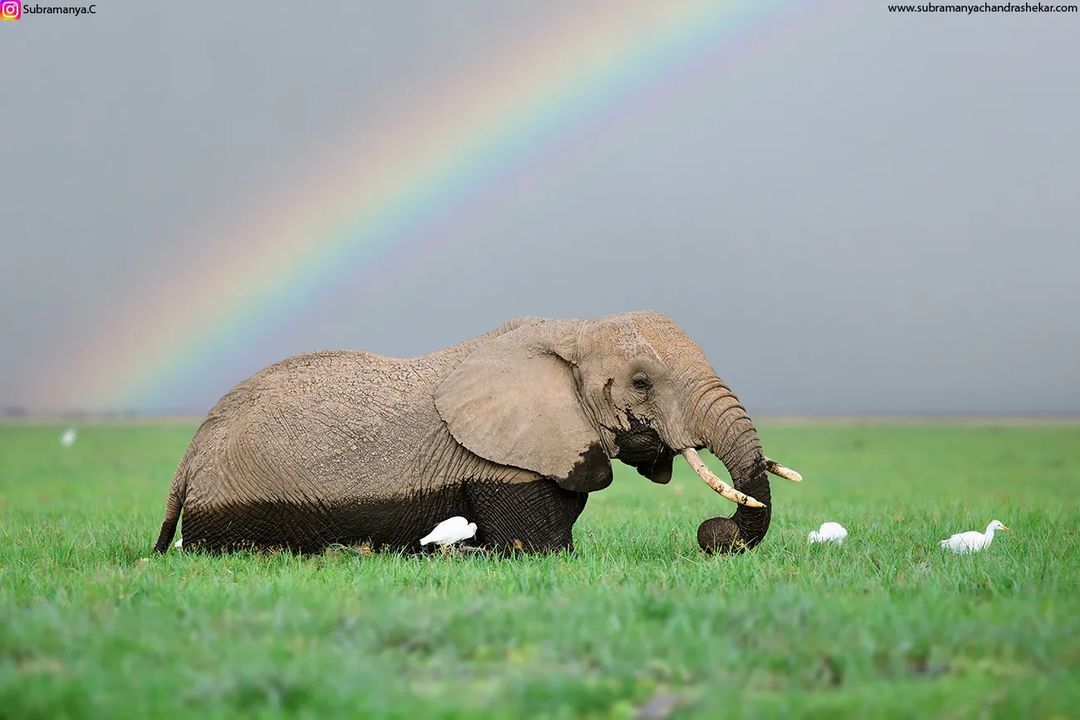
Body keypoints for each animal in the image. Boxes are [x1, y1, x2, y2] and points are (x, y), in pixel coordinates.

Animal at [156, 313, 803, 557]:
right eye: (641, 383)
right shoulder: (501, 462)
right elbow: (535, 547)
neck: (568, 329)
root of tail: (188, 458)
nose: (713, 534)